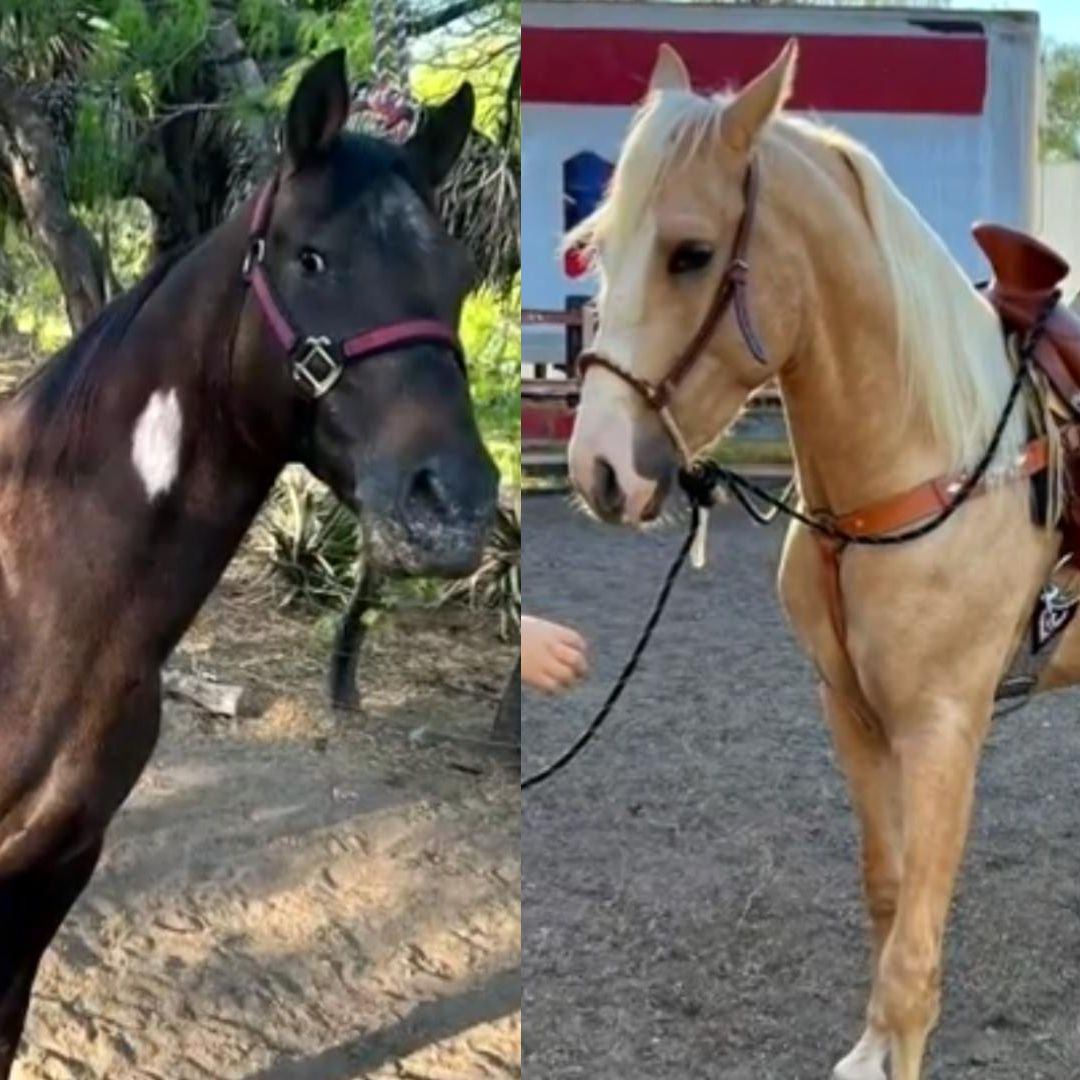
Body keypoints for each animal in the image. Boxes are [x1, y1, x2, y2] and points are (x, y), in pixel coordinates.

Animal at [566, 40, 1080, 1080]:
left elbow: (912, 961)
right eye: (598, 247)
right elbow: (887, 895)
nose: (598, 468)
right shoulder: (849, 710)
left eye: (692, 253)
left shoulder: (943, 729)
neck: (928, 458)